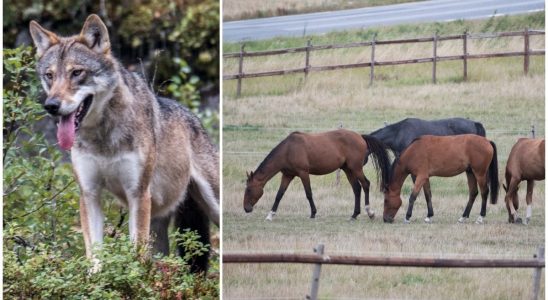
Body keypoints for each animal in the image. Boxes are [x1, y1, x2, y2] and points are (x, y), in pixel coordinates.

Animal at [28, 14, 219, 272]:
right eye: (49, 75)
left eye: (77, 73)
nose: (51, 106)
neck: (102, 138)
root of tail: (196, 119)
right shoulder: (89, 193)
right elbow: (94, 252)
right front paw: (95, 277)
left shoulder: (137, 193)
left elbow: (136, 252)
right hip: (159, 227)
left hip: (209, 204)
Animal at [243, 129, 390, 220]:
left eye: (249, 189)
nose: (246, 209)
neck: (288, 149)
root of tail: (360, 136)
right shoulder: (287, 175)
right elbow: (279, 195)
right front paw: (270, 215)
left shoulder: (303, 173)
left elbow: (308, 193)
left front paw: (313, 213)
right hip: (348, 170)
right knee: (357, 188)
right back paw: (354, 215)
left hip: (356, 169)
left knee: (366, 184)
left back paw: (370, 212)